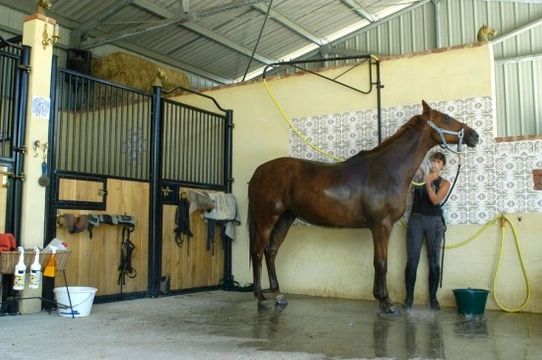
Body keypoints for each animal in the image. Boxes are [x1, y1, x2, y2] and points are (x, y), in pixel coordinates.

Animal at [249, 100, 482, 314]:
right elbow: (382, 263)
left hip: (285, 218)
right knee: (258, 253)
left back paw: (279, 295)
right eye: (446, 118)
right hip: (267, 219)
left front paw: (380, 299)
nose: (475, 136)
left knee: (271, 252)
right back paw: (261, 298)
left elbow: (378, 261)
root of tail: (258, 172)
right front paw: (387, 303)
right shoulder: (381, 225)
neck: (388, 170)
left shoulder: (380, 227)